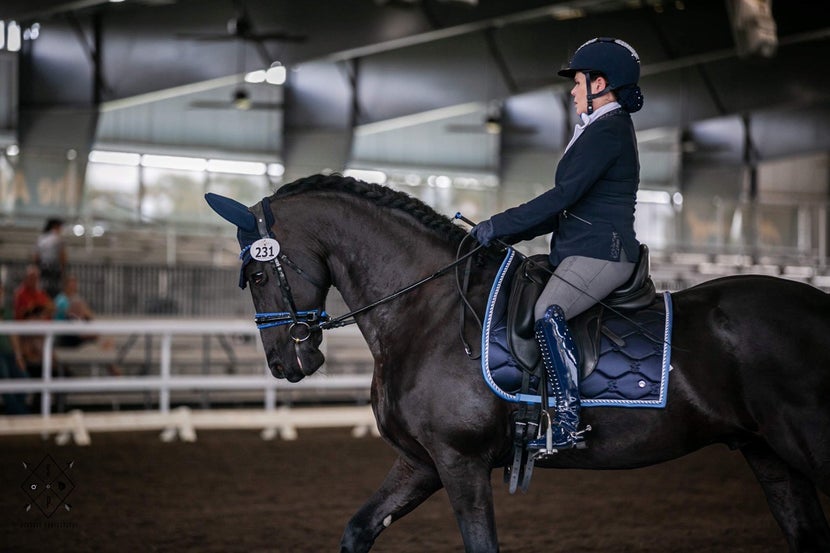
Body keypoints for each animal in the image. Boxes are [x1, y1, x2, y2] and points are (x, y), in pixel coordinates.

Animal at [208, 174, 830, 552]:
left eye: (257, 274)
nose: (286, 362)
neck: (428, 310)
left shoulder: (460, 462)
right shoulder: (422, 462)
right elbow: (359, 529)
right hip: (768, 453)